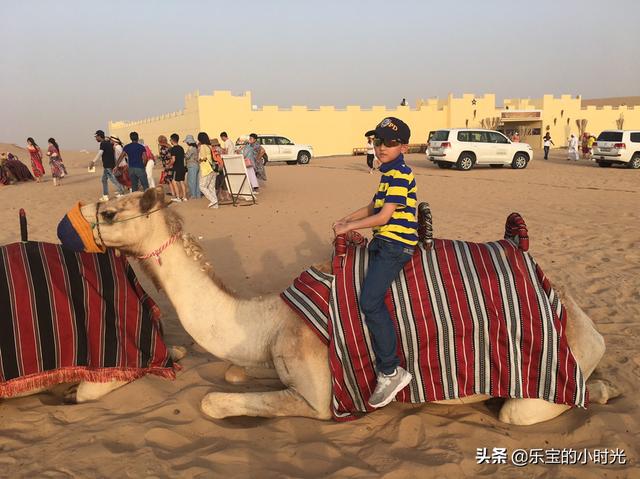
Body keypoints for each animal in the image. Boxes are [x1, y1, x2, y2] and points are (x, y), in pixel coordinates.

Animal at [76, 189, 620, 426]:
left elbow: (213, 400)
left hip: (543, 378)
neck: (270, 322)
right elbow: (231, 373)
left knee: (524, 410)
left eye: (110, 210)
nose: (77, 214)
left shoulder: (318, 398)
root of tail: (581, 316)